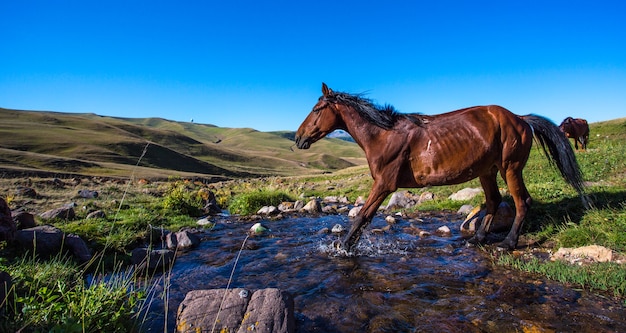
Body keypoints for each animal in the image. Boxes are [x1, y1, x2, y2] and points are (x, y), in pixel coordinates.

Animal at [294, 82, 588, 252]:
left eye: (317, 109)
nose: (298, 138)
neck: (383, 135)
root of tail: (521, 118)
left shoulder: (384, 183)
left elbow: (362, 216)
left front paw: (343, 246)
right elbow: (364, 217)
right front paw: (346, 245)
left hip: (510, 168)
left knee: (521, 202)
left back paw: (507, 243)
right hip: (487, 171)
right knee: (494, 201)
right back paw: (477, 238)